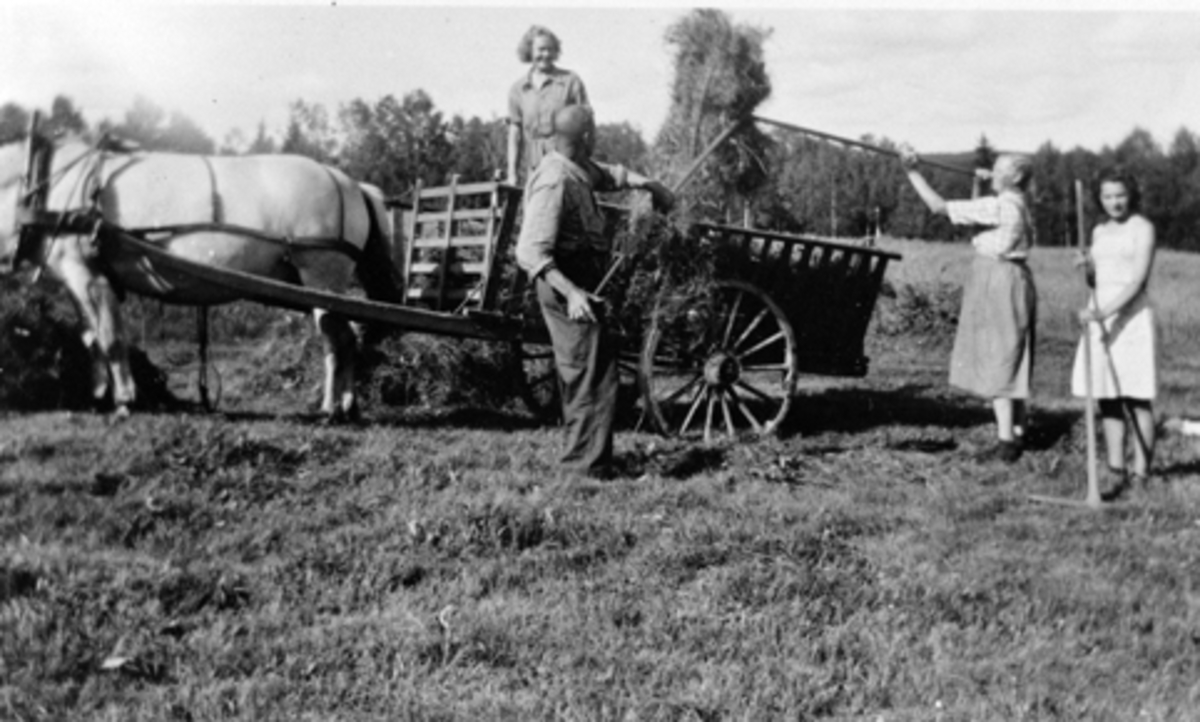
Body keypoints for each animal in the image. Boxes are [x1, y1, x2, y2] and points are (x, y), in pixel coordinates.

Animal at [0, 131, 403, 419]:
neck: (42, 187)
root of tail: (350, 182)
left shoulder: (86, 274)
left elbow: (111, 338)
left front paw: (126, 400)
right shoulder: (80, 279)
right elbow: (91, 338)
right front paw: (99, 397)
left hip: (322, 275)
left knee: (338, 341)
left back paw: (332, 408)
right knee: (347, 338)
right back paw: (347, 406)